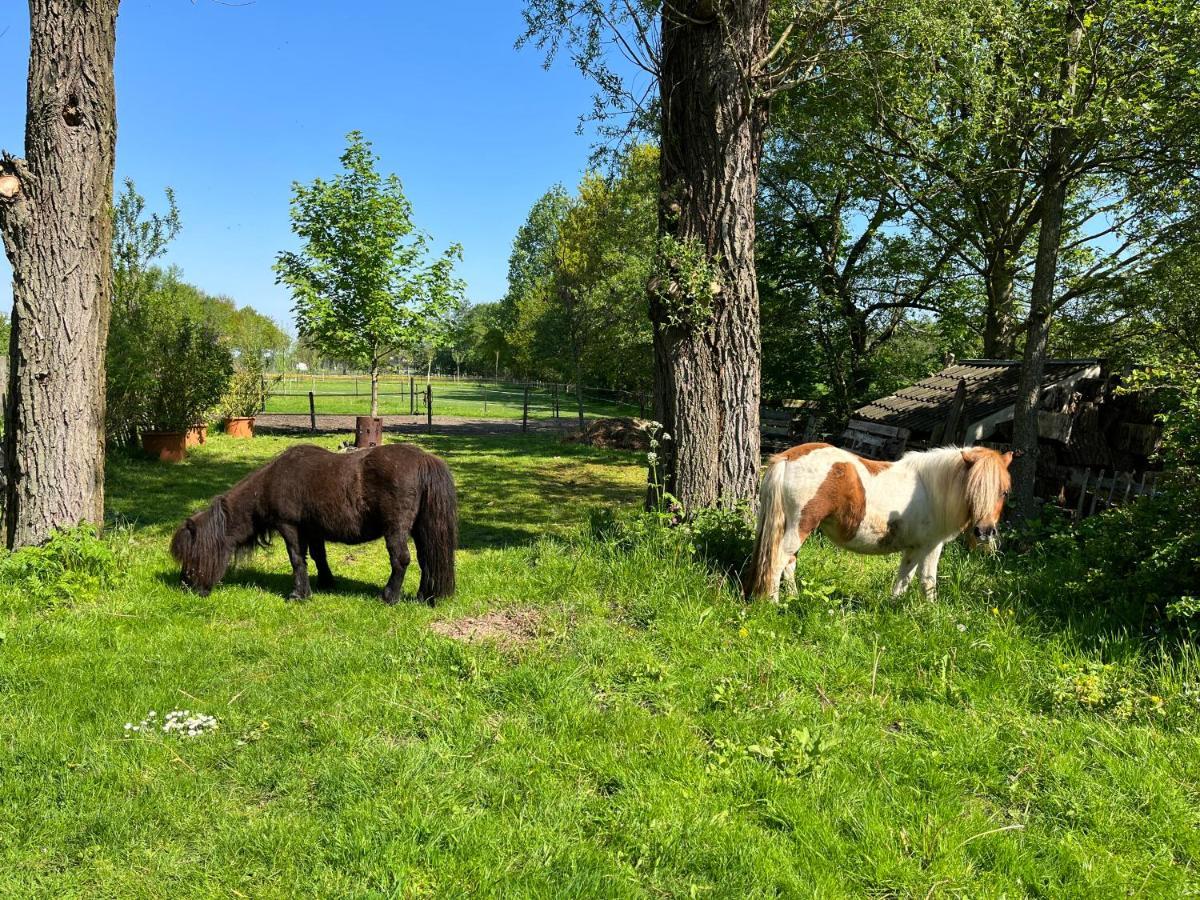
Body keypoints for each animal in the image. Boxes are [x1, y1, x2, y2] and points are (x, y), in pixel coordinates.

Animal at [174, 444, 458, 607]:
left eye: (194, 554)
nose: (186, 585)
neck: (270, 482)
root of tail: (424, 460)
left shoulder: (289, 527)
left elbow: (297, 559)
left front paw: (299, 594)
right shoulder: (313, 530)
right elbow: (319, 556)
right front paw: (326, 583)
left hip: (396, 529)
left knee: (401, 560)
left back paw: (389, 597)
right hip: (420, 529)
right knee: (426, 558)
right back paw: (424, 598)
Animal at [748, 441, 1012, 602]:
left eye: (1004, 492)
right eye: (973, 490)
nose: (985, 531)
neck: (932, 488)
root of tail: (788, 456)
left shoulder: (914, 548)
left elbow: (904, 577)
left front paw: (893, 606)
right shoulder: (932, 546)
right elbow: (927, 581)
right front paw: (931, 613)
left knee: (788, 563)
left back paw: (793, 598)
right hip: (799, 528)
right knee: (778, 561)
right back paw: (774, 603)